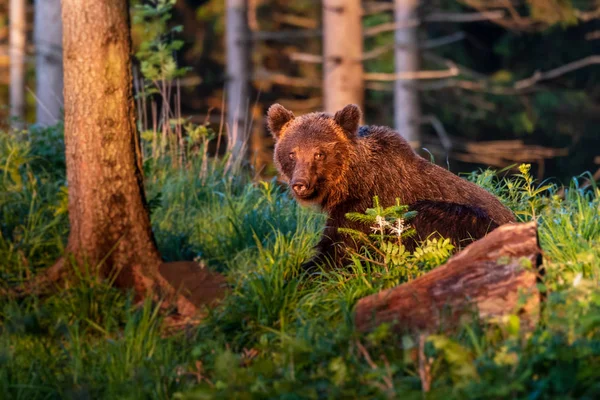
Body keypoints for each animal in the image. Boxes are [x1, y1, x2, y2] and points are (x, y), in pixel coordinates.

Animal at [268, 103, 516, 268]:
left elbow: (340, 250)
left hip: (465, 221)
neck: (352, 182)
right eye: (292, 153)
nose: (300, 184)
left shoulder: (367, 205)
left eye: (319, 153)